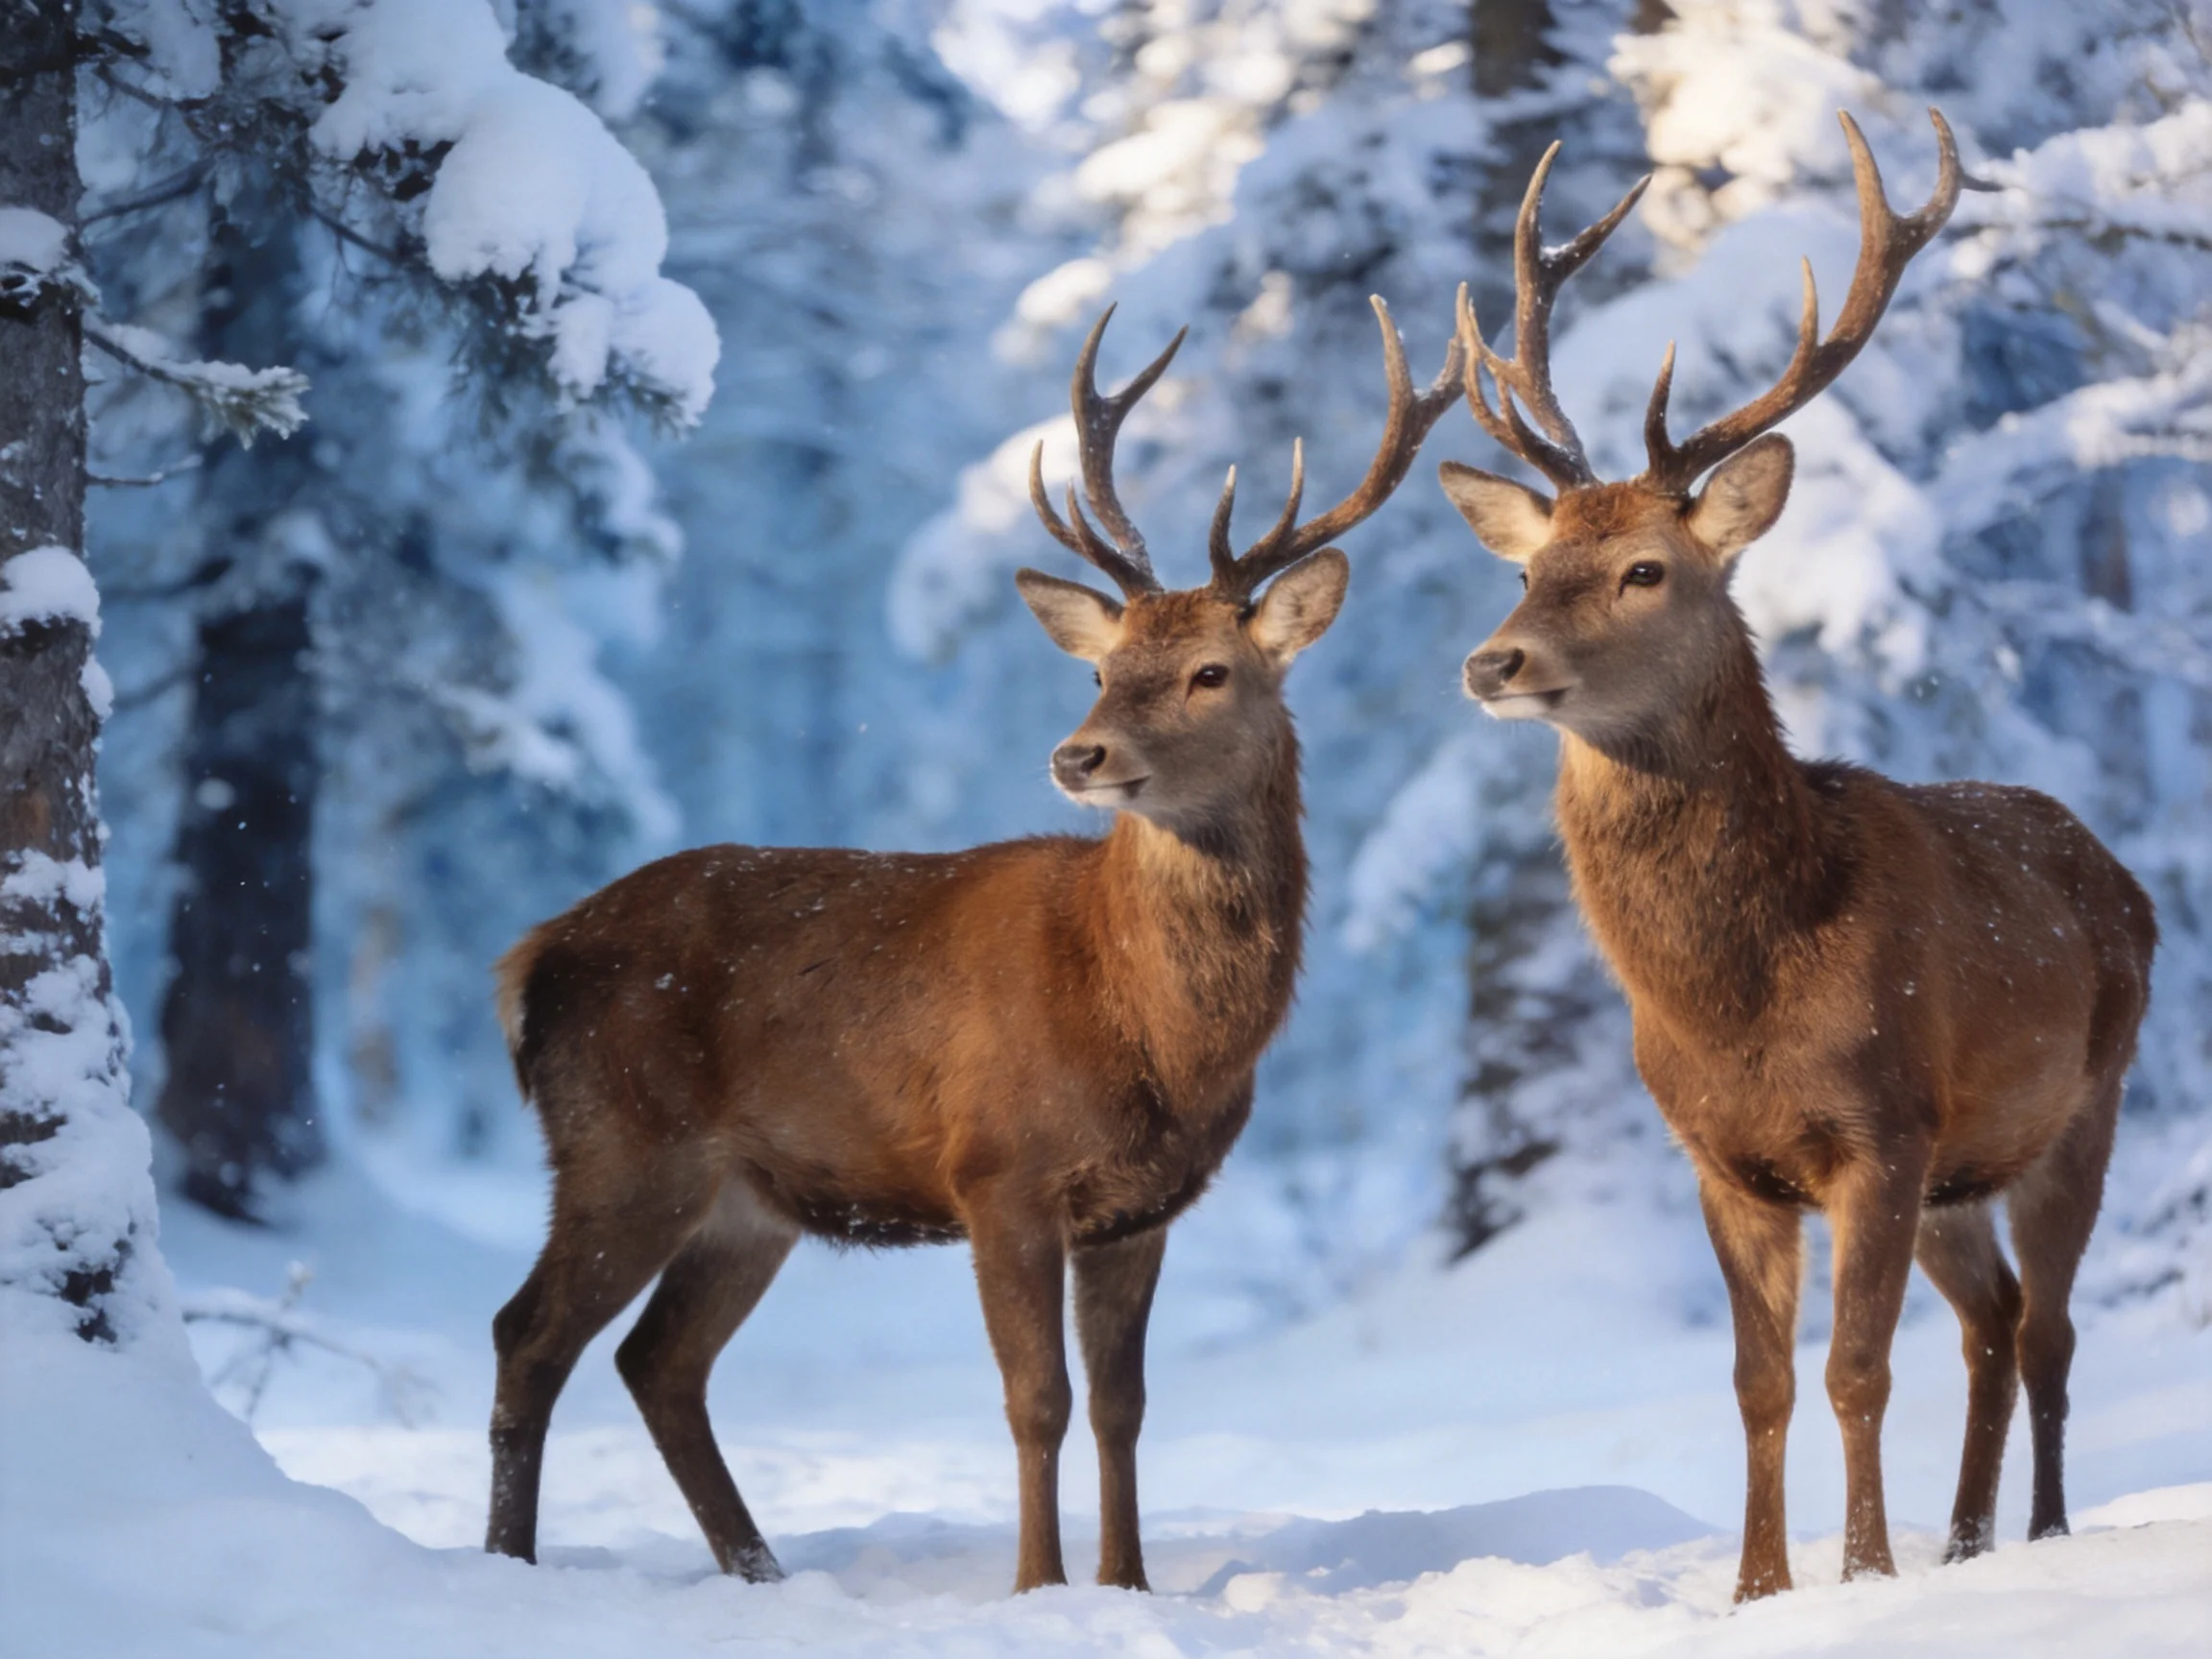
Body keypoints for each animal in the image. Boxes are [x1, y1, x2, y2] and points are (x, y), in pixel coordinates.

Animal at [483, 300, 1461, 1595]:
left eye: (1211, 671)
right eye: (1100, 667)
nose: (1079, 754)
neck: (1150, 1026)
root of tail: (528, 959)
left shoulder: (1141, 1208)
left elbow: (1123, 1407)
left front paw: (1127, 1585)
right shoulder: (999, 1170)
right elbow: (1036, 1399)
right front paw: (1039, 1586)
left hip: (745, 1200)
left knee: (659, 1362)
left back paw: (761, 1571)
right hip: (622, 1142)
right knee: (530, 1333)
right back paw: (511, 1562)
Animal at [1439, 109, 2156, 1601]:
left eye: (1647, 570)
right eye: (1526, 570)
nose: (1494, 661)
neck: (1740, 994)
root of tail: (2119, 872)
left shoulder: (1879, 1131)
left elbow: (1854, 1373)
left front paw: (1863, 1577)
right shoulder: (1724, 1159)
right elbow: (1759, 1383)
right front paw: (1758, 1588)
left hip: (2085, 1104)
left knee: (2048, 1328)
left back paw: (2040, 1537)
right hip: (1959, 1173)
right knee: (1994, 1320)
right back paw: (1967, 1539)